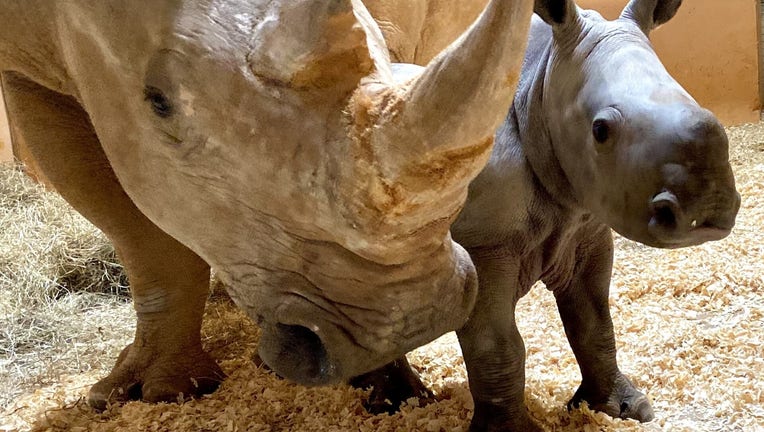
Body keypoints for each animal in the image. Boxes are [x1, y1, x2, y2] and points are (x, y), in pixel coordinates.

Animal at [0, 0, 542, 408]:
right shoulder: (25, 71)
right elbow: (144, 237)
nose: (413, 322)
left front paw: (390, 390)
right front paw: (155, 393)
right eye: (158, 102)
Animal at [361, 0, 741, 430]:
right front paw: (515, 430)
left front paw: (622, 409)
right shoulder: (483, 243)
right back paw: (400, 402)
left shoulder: (587, 229)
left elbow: (594, 324)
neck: (538, 94)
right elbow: (498, 345)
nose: (703, 212)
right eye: (600, 130)